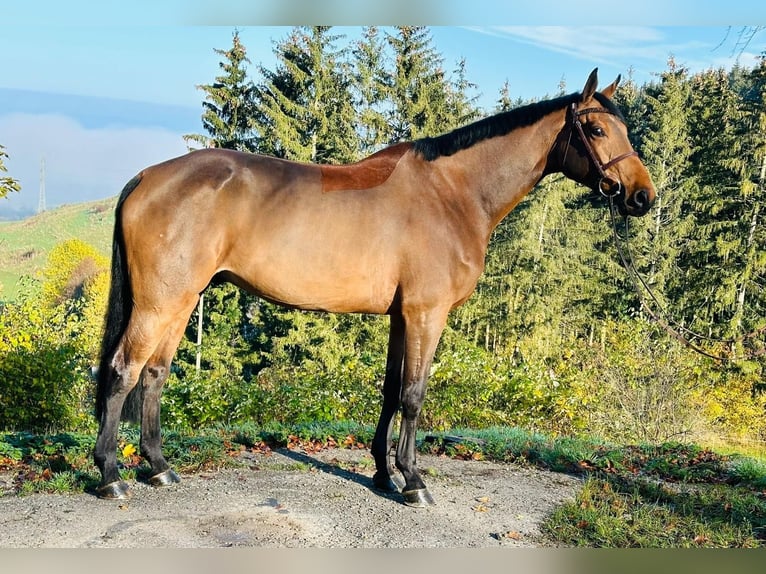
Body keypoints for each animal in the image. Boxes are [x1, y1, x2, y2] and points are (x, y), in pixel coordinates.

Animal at [94, 68, 655, 506]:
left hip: (182, 301)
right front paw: (414, 481)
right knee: (123, 370)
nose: (643, 196)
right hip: (161, 302)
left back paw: (159, 468)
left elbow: (389, 391)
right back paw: (111, 475)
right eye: (596, 128)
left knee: (154, 374)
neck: (453, 193)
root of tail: (146, 177)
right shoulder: (427, 313)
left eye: (623, 127)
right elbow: (414, 394)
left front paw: (384, 474)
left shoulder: (401, 316)